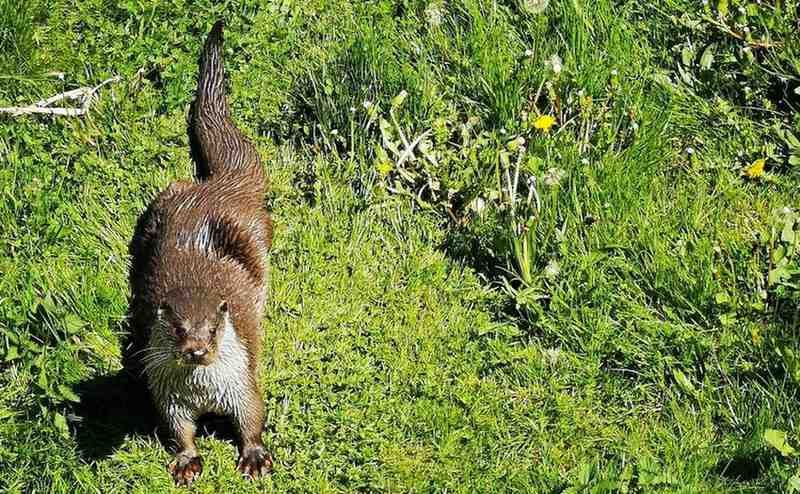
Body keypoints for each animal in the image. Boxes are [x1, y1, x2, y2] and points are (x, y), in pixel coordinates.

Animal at [124, 21, 273, 486]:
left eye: (212, 328)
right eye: (177, 329)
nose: (196, 350)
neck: (202, 391)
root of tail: (219, 185)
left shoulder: (242, 380)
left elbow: (253, 414)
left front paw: (254, 456)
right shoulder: (165, 393)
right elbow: (177, 429)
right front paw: (187, 460)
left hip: (255, 228)